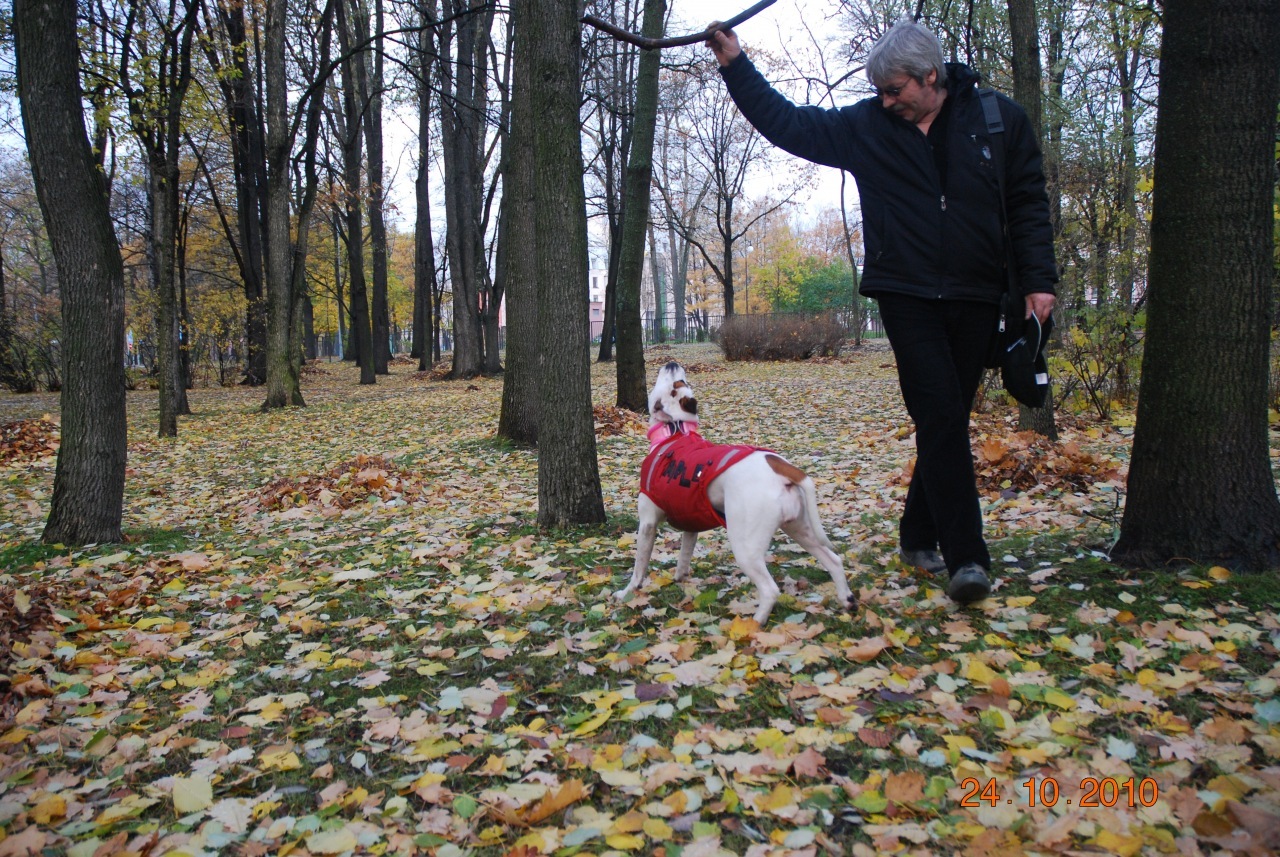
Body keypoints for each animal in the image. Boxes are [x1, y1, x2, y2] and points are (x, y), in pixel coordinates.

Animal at [614, 358, 855, 626]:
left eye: (675, 384)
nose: (672, 363)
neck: (676, 431)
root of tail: (780, 466)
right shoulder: (691, 524)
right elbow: (684, 558)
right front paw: (680, 579)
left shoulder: (647, 523)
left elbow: (639, 567)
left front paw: (626, 593)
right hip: (801, 530)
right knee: (834, 560)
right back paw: (847, 600)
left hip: (746, 547)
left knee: (770, 590)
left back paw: (753, 625)